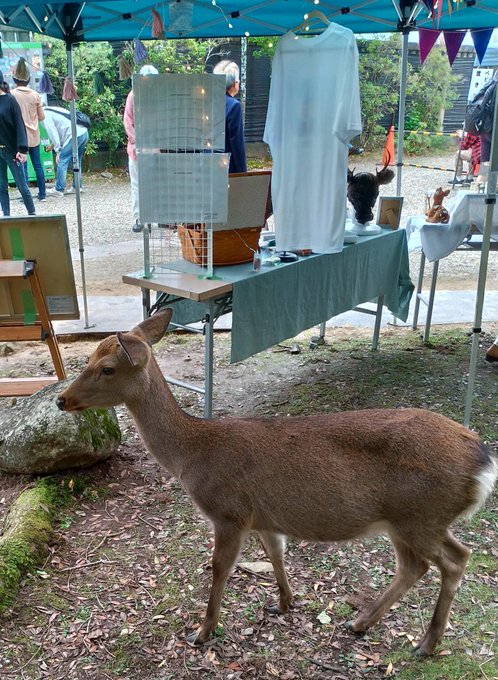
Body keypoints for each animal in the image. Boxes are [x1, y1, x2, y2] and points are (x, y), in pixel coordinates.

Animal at [56, 310, 496, 656]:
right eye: (89, 357)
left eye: (107, 367)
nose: (62, 399)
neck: (192, 455)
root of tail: (483, 460)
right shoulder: (263, 517)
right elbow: (276, 555)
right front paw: (283, 603)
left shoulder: (229, 511)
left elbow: (219, 568)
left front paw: (203, 632)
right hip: (403, 520)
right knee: (414, 566)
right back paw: (359, 623)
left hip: (422, 514)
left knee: (456, 558)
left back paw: (426, 643)